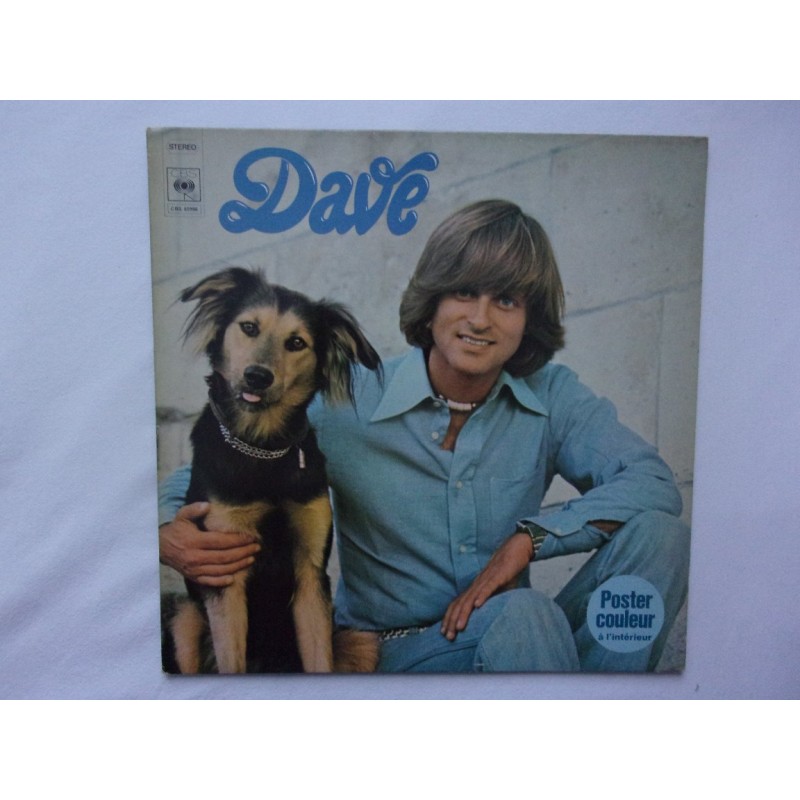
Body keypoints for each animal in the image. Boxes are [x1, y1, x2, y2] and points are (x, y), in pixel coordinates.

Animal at [162, 267, 381, 673]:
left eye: (296, 342)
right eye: (248, 327)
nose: (257, 376)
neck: (263, 448)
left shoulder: (310, 571)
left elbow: (319, 657)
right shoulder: (225, 571)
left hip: (362, 641)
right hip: (183, 618)